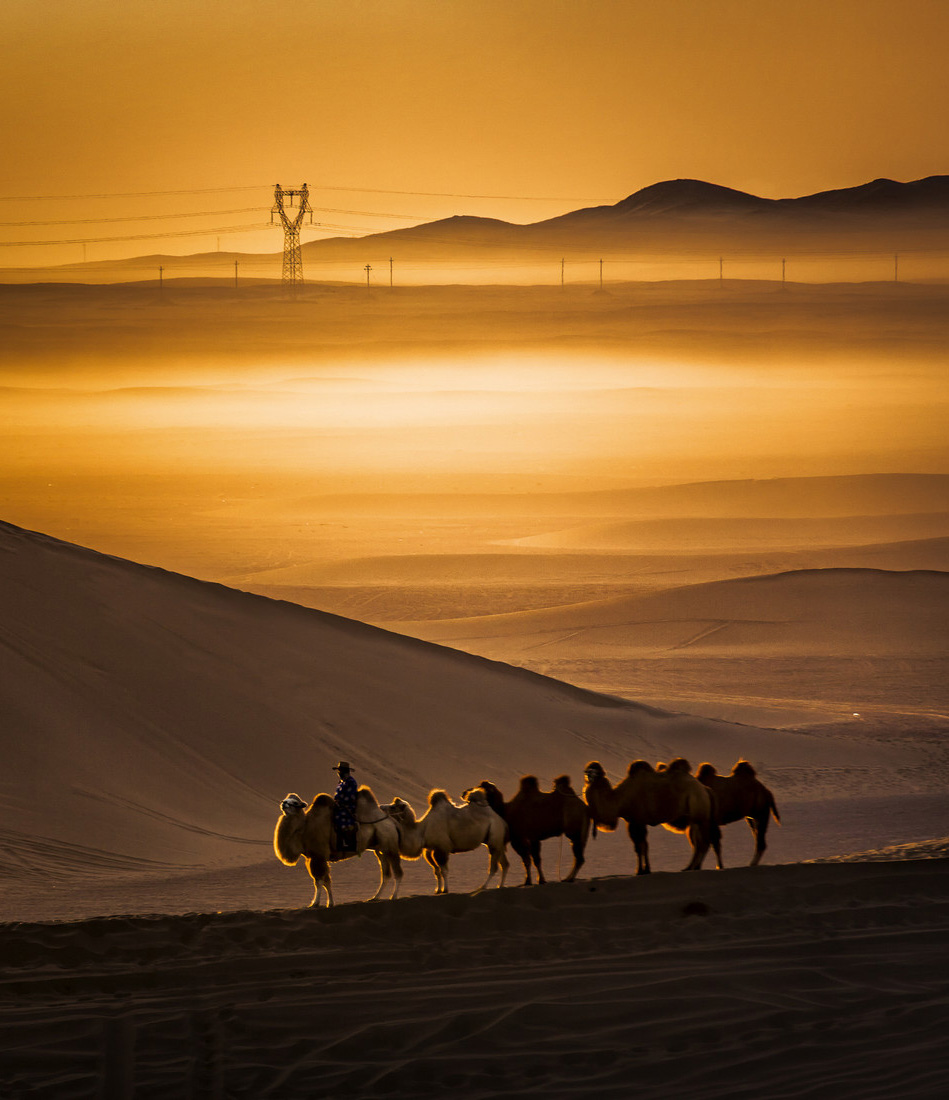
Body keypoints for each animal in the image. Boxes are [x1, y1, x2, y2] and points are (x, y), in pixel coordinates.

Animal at [272, 792, 402, 910]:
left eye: (294, 803)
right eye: (285, 799)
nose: (283, 804)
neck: (304, 829)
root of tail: (391, 821)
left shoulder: (318, 856)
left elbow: (320, 881)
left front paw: (316, 903)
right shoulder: (313, 858)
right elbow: (325, 881)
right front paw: (330, 903)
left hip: (390, 846)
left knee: (398, 872)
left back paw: (394, 896)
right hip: (380, 849)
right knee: (386, 874)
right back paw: (375, 897)